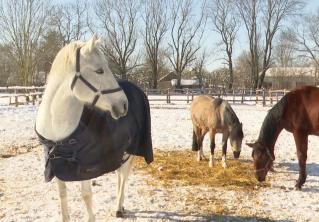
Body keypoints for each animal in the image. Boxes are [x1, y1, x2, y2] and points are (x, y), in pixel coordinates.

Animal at [35, 35, 134, 221]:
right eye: (99, 70)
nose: (124, 104)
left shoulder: (85, 168)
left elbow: (86, 195)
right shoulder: (57, 164)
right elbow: (62, 194)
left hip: (130, 152)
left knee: (124, 176)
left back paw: (119, 207)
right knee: (119, 175)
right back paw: (120, 206)